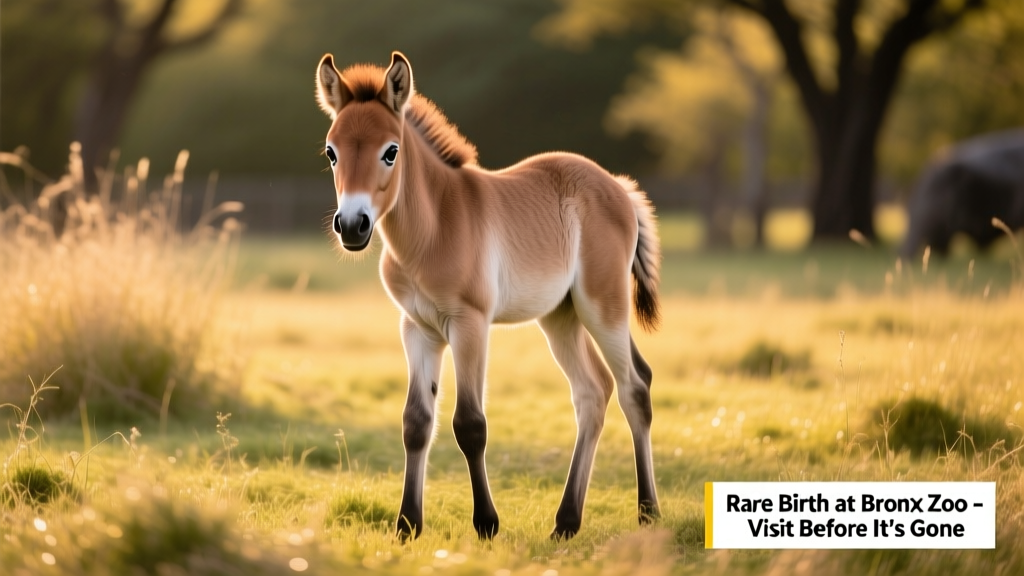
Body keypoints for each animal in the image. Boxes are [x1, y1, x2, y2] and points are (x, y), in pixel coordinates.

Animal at [315, 51, 662, 541]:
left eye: (390, 151)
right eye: (332, 152)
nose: (351, 226)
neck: (433, 229)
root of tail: (619, 187)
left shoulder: (470, 324)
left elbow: (469, 423)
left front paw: (486, 523)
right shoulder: (417, 329)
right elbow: (416, 422)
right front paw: (407, 525)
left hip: (602, 306)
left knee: (634, 387)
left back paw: (648, 512)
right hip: (561, 315)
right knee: (594, 392)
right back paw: (566, 522)